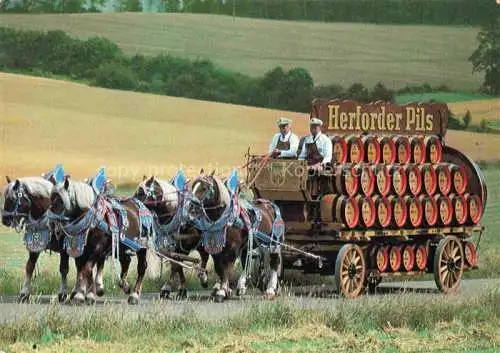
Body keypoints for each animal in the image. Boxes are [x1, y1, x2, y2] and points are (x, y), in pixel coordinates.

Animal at [48, 173, 158, 302]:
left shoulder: (97, 248)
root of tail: (141, 205)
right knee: (126, 261)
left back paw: (134, 295)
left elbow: (87, 268)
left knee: (141, 267)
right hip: (121, 245)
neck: (92, 218)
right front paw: (83, 292)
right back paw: (125, 286)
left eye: (61, 201)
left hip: (141, 246)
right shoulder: (82, 249)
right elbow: (81, 268)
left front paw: (84, 294)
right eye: (51, 199)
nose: (51, 223)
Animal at [188, 168, 286, 300]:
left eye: (204, 188)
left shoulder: (233, 248)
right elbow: (219, 268)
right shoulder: (216, 248)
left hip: (274, 242)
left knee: (274, 263)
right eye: (193, 186)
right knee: (247, 261)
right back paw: (242, 286)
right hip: (254, 244)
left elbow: (227, 268)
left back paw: (270, 289)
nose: (190, 207)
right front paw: (223, 289)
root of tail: (270, 205)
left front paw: (222, 291)